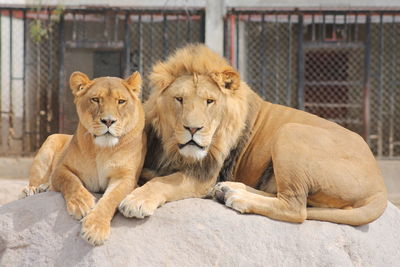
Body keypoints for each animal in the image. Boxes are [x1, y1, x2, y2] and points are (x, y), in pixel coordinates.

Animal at [20, 70, 145, 245]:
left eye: (121, 101)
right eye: (96, 99)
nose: (108, 121)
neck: (102, 149)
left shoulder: (126, 178)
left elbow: (111, 198)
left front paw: (95, 229)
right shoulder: (61, 168)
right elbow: (71, 182)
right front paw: (82, 204)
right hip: (49, 143)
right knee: (35, 181)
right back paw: (33, 190)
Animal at [118, 44, 388, 226]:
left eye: (209, 101)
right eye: (179, 99)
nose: (193, 129)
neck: (173, 146)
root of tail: (380, 185)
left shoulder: (203, 174)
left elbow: (162, 181)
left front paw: (137, 200)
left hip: (290, 131)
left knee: (295, 207)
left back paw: (238, 198)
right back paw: (229, 190)